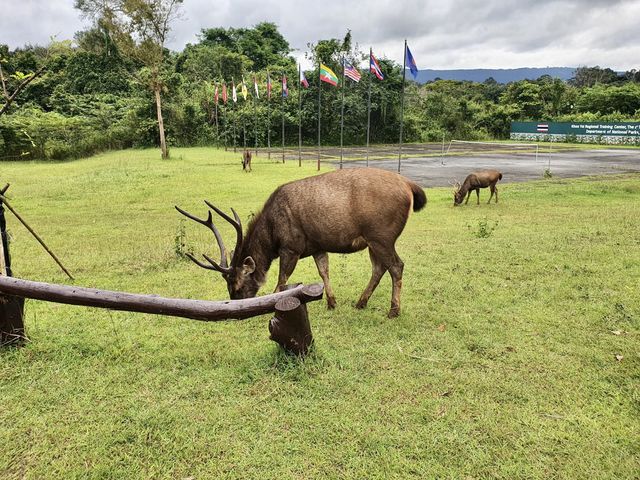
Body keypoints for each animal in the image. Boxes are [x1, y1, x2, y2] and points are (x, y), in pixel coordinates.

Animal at [175, 167, 428, 316]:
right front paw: (331, 302)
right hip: (373, 239)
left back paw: (393, 310)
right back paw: (360, 302)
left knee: (396, 265)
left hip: (381, 234)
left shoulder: (291, 246)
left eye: (237, 286)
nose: (235, 308)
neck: (272, 236)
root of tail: (410, 187)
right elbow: (324, 272)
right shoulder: (317, 246)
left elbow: (281, 280)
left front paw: (271, 308)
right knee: (379, 268)